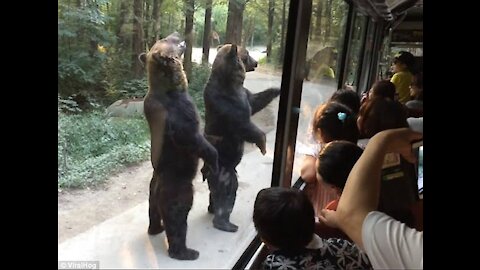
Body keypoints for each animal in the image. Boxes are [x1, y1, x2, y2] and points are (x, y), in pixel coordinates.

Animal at [139, 32, 219, 260]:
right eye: (168, 40)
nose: (176, 33)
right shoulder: (180, 114)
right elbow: (192, 138)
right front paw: (213, 158)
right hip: (179, 188)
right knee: (177, 217)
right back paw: (185, 251)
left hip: (153, 190)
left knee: (153, 211)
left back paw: (156, 228)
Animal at [202, 43, 282, 232]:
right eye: (247, 55)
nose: (256, 63)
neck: (231, 82)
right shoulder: (228, 104)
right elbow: (244, 125)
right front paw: (263, 145)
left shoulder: (244, 95)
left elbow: (256, 101)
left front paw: (277, 89)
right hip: (223, 170)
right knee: (227, 192)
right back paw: (225, 222)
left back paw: (212, 208)